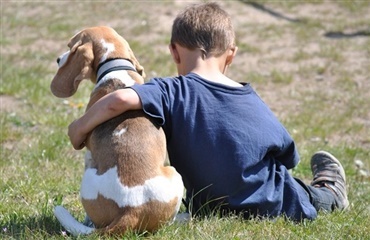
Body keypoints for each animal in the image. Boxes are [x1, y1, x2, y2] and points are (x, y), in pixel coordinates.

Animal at [49, 25, 185, 234]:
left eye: (70, 46)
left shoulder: (88, 153)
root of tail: (131, 210)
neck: (116, 67)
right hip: (174, 173)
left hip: (88, 176)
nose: (57, 59)